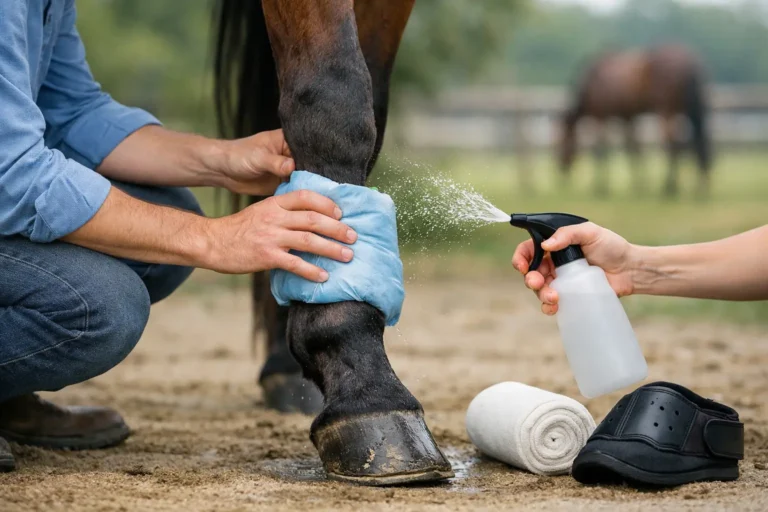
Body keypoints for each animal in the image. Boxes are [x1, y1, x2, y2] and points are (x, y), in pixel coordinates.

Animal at [557, 45, 713, 197]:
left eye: (561, 143)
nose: (561, 169)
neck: (591, 82)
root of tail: (690, 63)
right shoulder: (627, 117)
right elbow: (633, 147)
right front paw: (640, 186)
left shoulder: (600, 116)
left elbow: (601, 148)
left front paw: (601, 187)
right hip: (689, 110)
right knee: (696, 141)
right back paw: (699, 188)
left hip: (666, 109)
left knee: (673, 144)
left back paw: (669, 188)